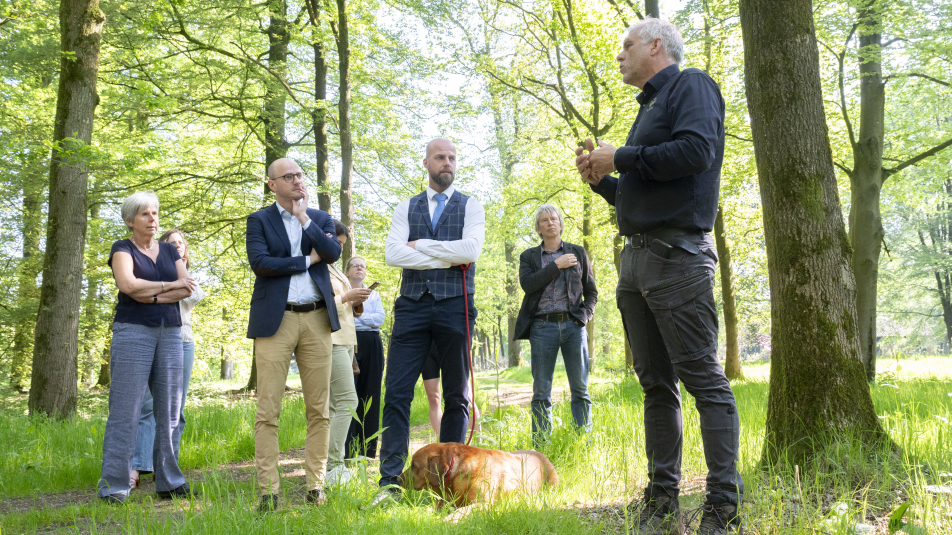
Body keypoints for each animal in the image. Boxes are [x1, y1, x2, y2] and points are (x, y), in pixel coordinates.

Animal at [400, 444, 556, 524]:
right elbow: (428, 508)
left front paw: (448, 519)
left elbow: (462, 511)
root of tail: (538, 453)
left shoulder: (483, 503)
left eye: (414, 466)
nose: (397, 478)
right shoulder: (446, 501)